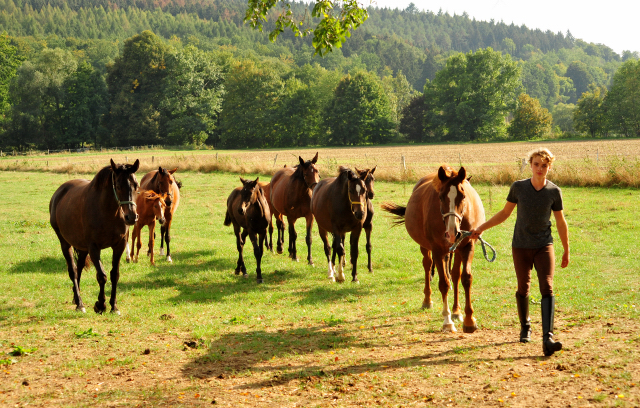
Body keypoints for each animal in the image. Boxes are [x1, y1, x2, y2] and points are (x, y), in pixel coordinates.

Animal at [49, 158, 140, 314]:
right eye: (118, 186)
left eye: (136, 185)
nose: (131, 217)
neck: (107, 211)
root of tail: (58, 193)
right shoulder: (94, 248)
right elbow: (102, 276)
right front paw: (100, 304)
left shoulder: (119, 245)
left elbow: (114, 275)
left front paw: (114, 306)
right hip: (65, 243)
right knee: (73, 270)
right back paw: (80, 304)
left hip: (82, 248)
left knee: (79, 267)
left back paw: (76, 297)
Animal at [380, 165, 484, 332]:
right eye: (440, 197)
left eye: (463, 196)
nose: (452, 232)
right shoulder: (437, 250)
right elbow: (444, 284)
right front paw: (447, 321)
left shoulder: (467, 246)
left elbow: (465, 278)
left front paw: (468, 319)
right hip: (426, 247)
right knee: (428, 265)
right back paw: (427, 300)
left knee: (454, 274)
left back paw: (456, 311)